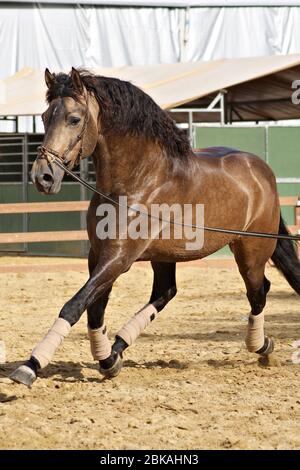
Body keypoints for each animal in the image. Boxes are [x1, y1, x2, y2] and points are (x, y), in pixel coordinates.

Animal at [10, 68, 298, 388]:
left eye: (73, 119)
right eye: (45, 117)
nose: (43, 177)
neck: (136, 180)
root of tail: (261, 170)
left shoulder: (119, 257)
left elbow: (75, 305)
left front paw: (30, 366)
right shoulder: (99, 256)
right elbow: (94, 308)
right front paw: (108, 360)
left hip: (250, 252)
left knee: (258, 292)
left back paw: (262, 347)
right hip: (166, 256)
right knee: (166, 292)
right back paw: (119, 347)